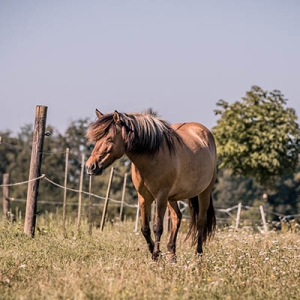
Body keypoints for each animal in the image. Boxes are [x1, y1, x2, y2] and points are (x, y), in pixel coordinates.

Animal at [85, 109, 217, 262]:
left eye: (110, 139)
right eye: (97, 139)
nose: (90, 166)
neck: (152, 155)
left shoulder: (160, 196)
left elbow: (157, 227)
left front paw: (155, 255)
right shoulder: (143, 197)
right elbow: (145, 228)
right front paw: (156, 253)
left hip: (203, 192)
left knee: (201, 221)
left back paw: (198, 255)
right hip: (172, 198)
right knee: (177, 218)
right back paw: (172, 255)